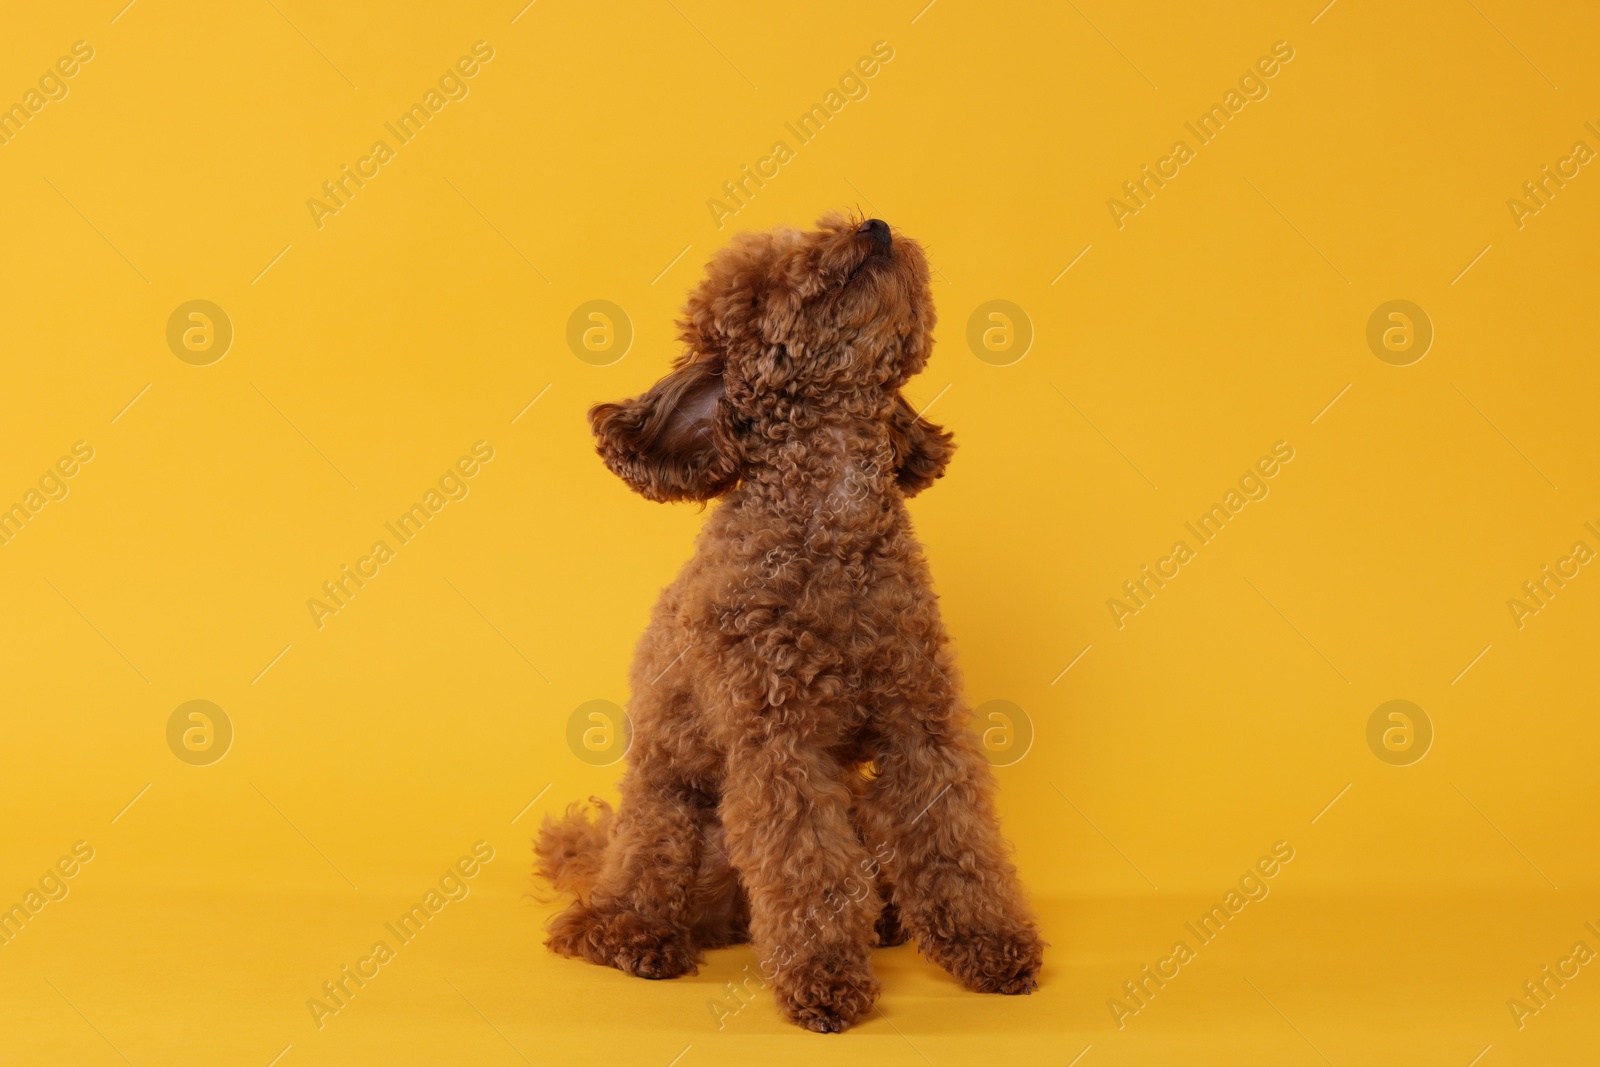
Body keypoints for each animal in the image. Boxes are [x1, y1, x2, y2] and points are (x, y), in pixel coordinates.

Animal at [531, 211, 1043, 1036]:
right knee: (620, 899)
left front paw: (988, 944)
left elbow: (956, 842)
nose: (876, 228)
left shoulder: (921, 724)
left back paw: (887, 919)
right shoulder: (779, 745)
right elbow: (808, 865)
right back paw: (636, 937)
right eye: (771, 280)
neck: (834, 523)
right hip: (668, 814)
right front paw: (823, 977)